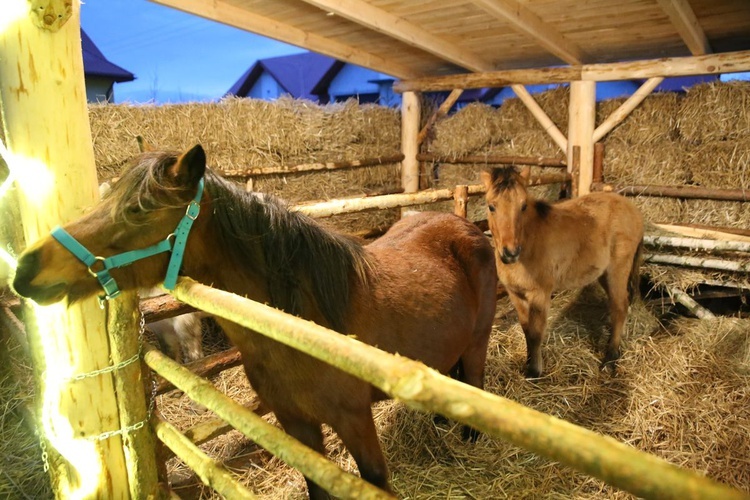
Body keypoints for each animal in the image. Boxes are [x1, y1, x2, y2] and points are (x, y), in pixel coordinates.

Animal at [13, 144, 500, 496]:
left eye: (136, 211)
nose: (25, 270)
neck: (303, 327)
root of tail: (467, 228)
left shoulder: (356, 421)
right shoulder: (295, 424)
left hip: (477, 342)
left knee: (474, 378)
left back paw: (469, 438)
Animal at [484, 166, 644, 376]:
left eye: (523, 206)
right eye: (491, 206)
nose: (510, 253)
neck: (530, 241)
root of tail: (633, 209)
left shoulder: (540, 294)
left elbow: (535, 333)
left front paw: (534, 372)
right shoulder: (515, 294)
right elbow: (526, 329)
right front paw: (528, 364)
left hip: (618, 270)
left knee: (620, 308)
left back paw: (609, 360)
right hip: (604, 274)